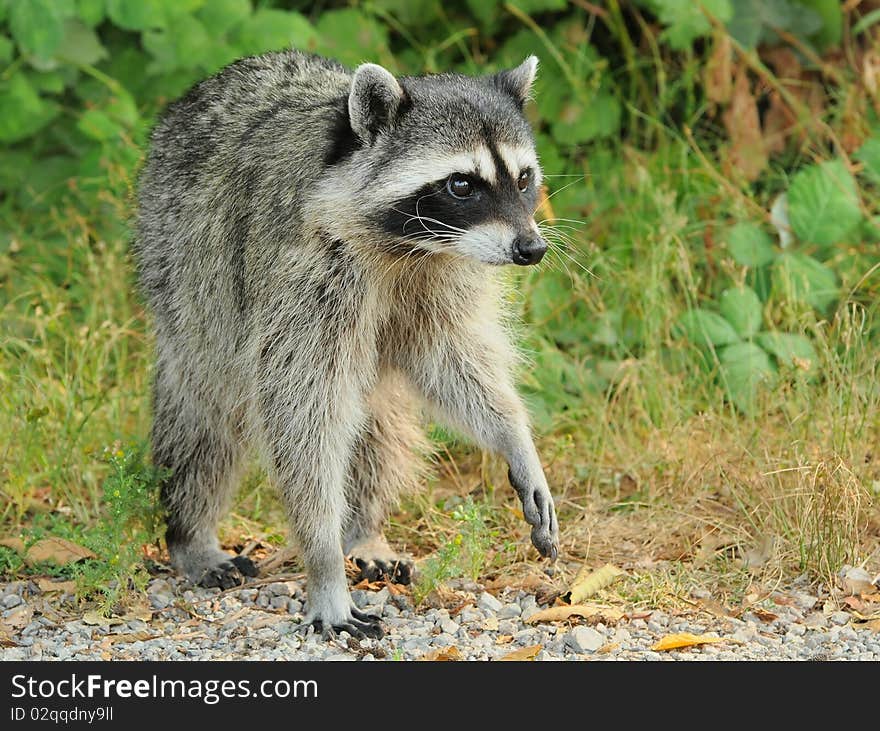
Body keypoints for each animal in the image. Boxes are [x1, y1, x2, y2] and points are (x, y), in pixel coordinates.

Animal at [136, 51, 564, 636]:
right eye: (461, 184)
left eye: (524, 179)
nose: (532, 249)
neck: (405, 246)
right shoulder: (304, 272)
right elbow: (302, 415)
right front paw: (323, 561)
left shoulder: (443, 273)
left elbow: (454, 362)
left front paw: (514, 436)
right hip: (185, 280)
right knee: (205, 418)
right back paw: (191, 532)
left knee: (380, 423)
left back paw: (363, 528)